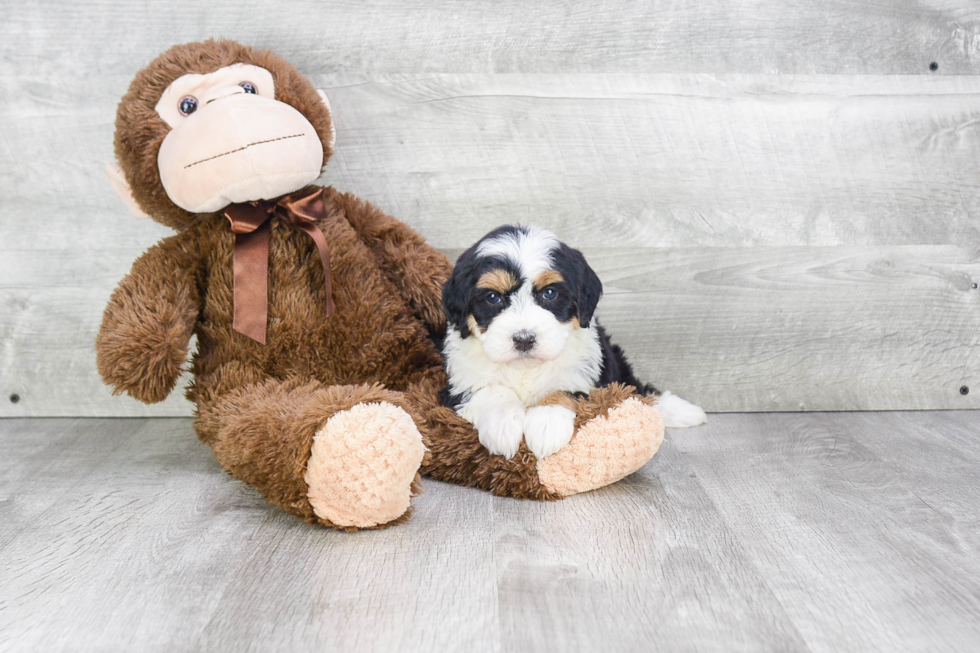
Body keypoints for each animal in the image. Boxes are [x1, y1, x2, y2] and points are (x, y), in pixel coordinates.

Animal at [442, 224, 704, 458]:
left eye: (549, 293)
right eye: (493, 297)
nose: (524, 339)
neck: (525, 368)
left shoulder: (591, 378)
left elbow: (563, 390)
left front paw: (547, 425)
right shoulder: (457, 385)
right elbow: (492, 392)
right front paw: (503, 426)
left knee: (636, 388)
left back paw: (685, 411)